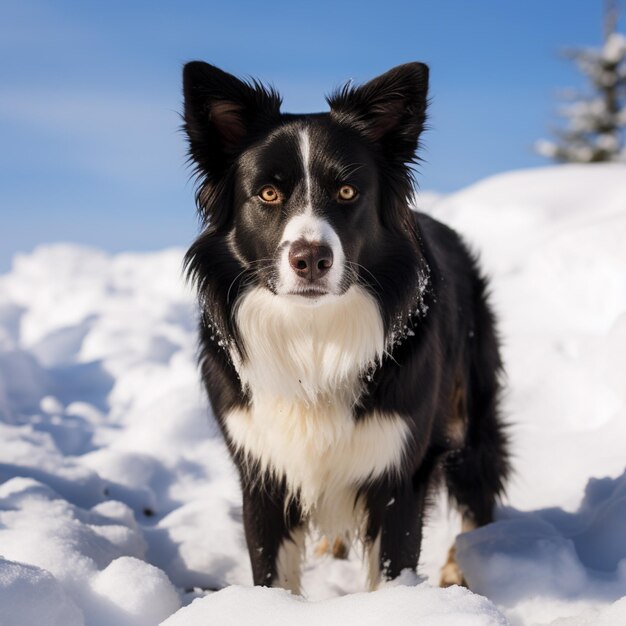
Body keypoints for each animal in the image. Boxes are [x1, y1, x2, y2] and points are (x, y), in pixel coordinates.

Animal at [180, 61, 508, 592]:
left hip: (470, 406)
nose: (311, 258)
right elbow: (272, 574)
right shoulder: (262, 469)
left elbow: (391, 573)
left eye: (348, 192)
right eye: (268, 193)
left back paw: (460, 570)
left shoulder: (399, 472)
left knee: (479, 484)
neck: (314, 335)